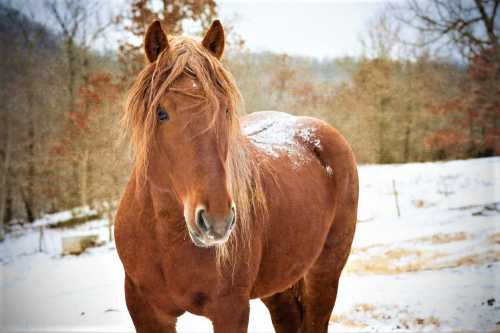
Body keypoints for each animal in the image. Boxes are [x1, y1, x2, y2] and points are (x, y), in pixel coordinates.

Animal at [116, 19, 360, 330]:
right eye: (161, 113)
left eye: (225, 110)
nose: (217, 221)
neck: (163, 238)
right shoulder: (145, 310)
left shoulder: (230, 309)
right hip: (277, 285)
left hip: (325, 272)